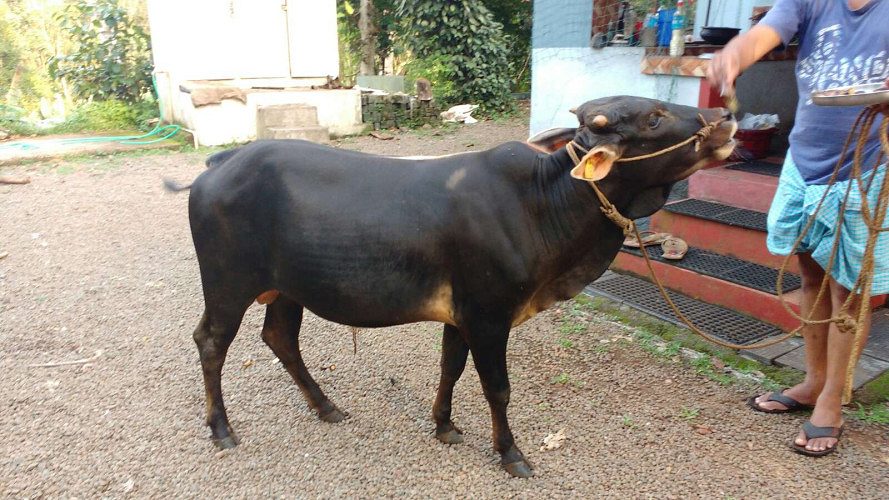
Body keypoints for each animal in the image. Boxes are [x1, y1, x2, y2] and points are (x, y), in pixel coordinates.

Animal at [181, 96, 736, 478]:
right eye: (653, 118)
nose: (726, 116)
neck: (541, 203)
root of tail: (221, 163)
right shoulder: (489, 315)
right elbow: (497, 388)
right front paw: (511, 453)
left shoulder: (462, 314)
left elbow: (450, 368)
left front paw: (444, 425)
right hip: (228, 284)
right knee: (210, 341)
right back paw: (222, 429)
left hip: (287, 290)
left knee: (280, 338)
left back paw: (326, 406)